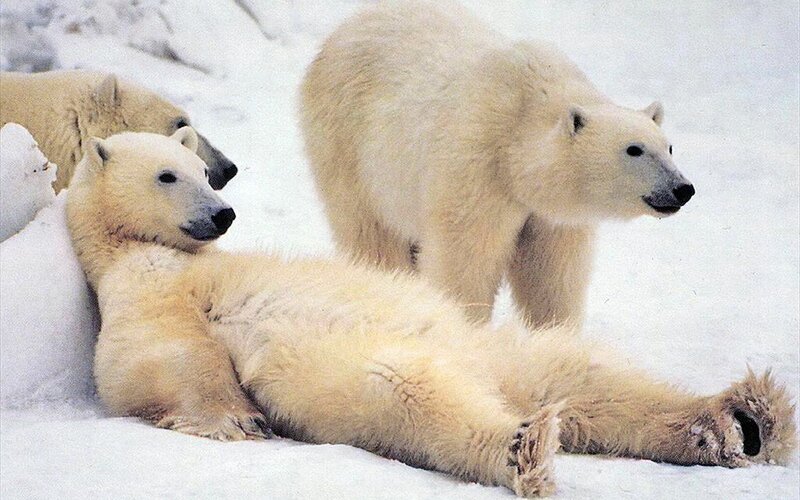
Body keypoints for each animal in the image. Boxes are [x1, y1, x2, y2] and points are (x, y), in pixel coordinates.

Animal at [66, 130, 794, 498]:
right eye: (168, 174)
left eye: (202, 171)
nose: (222, 213)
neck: (153, 251)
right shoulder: (141, 293)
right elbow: (155, 360)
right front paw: (236, 420)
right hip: (368, 367)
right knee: (408, 393)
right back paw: (525, 447)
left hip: (494, 347)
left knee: (582, 375)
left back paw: (741, 421)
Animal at [300, 1, 695, 326]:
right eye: (634, 149)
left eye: (669, 147)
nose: (683, 188)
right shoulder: (477, 166)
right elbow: (467, 259)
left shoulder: (550, 216)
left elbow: (551, 273)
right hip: (349, 145)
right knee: (372, 234)